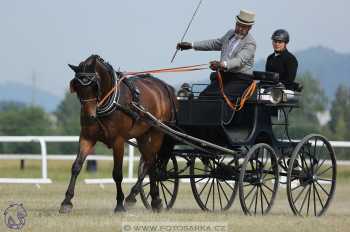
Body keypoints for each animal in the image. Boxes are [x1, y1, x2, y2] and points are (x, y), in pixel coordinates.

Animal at [59, 54, 178, 214]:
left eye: (94, 86)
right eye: (77, 87)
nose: (89, 117)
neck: (110, 101)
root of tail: (165, 87)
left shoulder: (118, 141)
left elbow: (117, 174)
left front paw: (119, 205)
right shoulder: (87, 137)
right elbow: (76, 166)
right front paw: (66, 201)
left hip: (157, 132)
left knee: (151, 163)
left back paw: (141, 198)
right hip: (143, 135)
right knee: (150, 162)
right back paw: (152, 200)